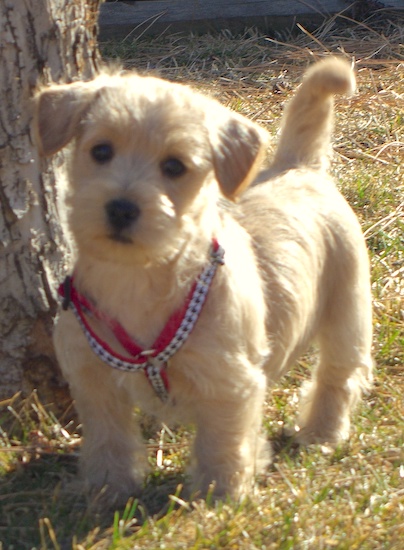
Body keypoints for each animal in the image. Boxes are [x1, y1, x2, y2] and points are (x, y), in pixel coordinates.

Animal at [34, 57, 372, 504]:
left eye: (174, 166)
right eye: (101, 151)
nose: (121, 208)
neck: (137, 278)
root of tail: (298, 166)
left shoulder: (228, 382)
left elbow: (222, 441)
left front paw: (221, 493)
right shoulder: (94, 380)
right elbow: (109, 438)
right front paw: (107, 488)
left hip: (348, 311)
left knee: (338, 375)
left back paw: (321, 433)